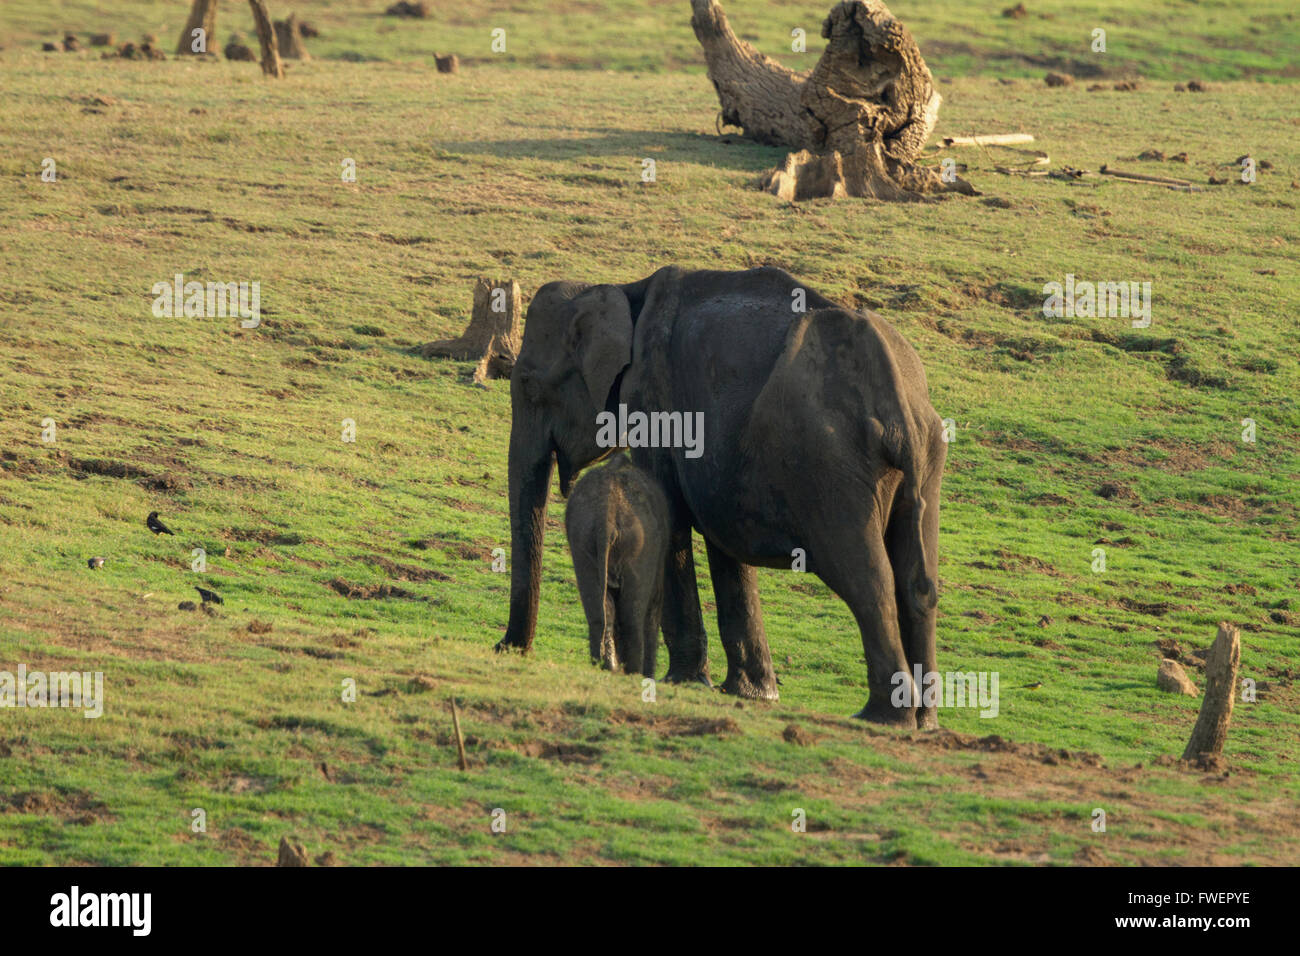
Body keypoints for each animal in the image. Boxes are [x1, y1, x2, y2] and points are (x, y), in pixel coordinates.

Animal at [564, 457, 670, 676]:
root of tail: (607, 514)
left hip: (582, 538)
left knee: (599, 611)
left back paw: (605, 666)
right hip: (640, 546)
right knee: (632, 616)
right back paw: (634, 673)